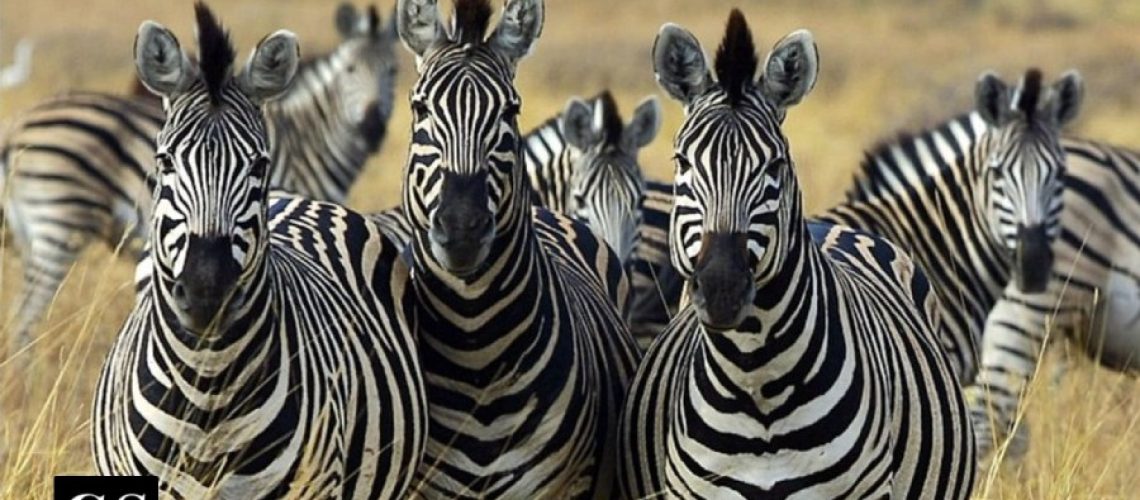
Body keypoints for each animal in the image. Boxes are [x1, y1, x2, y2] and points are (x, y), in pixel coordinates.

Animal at [0, 2, 398, 351]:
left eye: (393, 71)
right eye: (350, 70)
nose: (373, 129)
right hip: (59, 222)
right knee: (24, 318)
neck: (306, 140)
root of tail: (17, 127)